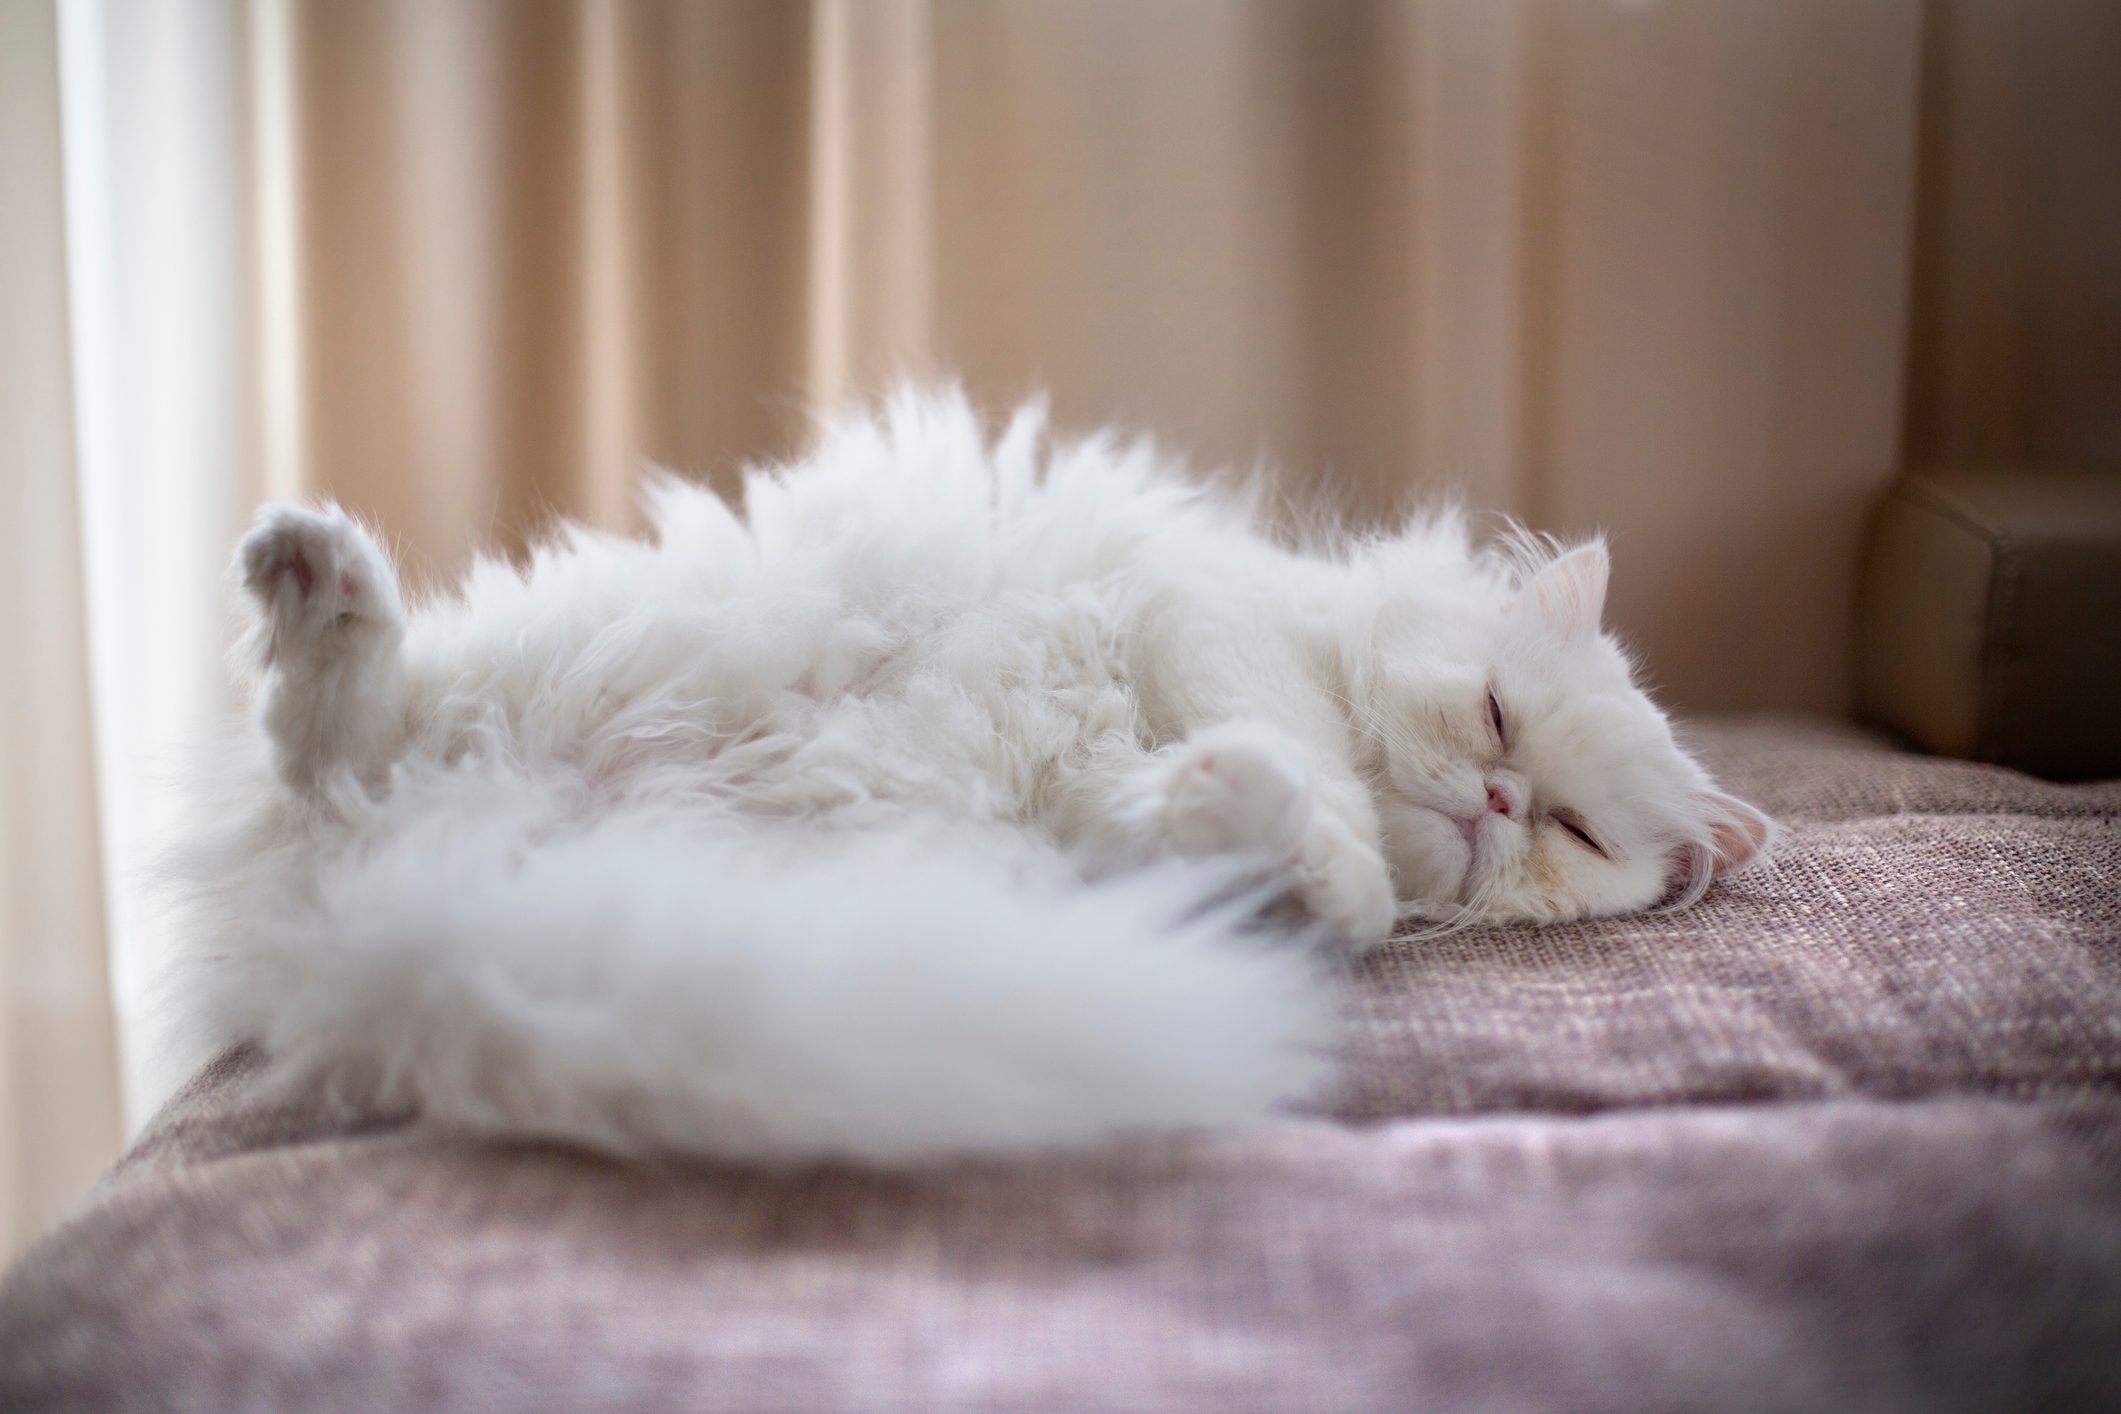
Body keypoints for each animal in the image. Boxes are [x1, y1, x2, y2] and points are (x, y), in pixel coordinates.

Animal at [173, 383, 1773, 1161]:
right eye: (1499, 721)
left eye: (1576, 832)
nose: (1500, 805)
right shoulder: (1219, 621)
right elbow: (1310, 766)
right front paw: (1333, 858)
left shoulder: (1092, 797)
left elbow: (1196, 808)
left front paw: (1258, 831)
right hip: (583, 655)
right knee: (331, 732)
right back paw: (312, 568)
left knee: (332, 751)